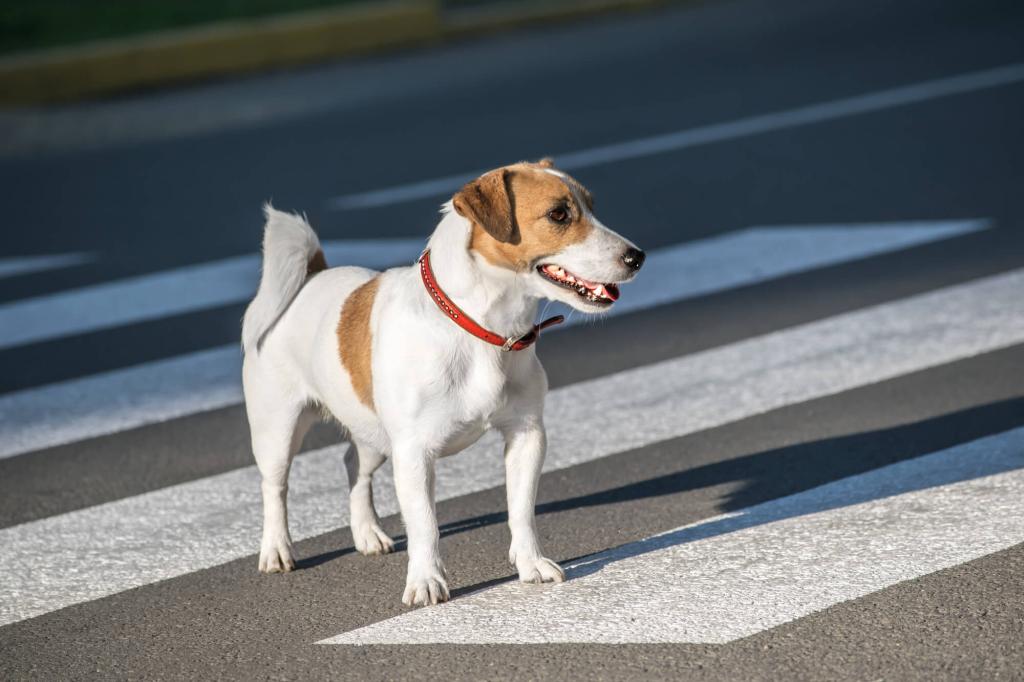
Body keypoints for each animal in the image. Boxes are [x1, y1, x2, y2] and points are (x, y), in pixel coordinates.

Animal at [243, 160, 643, 606]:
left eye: (592, 207)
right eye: (558, 214)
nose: (637, 257)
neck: (481, 329)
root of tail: (310, 276)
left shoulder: (527, 435)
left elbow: (521, 510)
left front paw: (530, 564)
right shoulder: (414, 453)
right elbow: (425, 525)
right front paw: (426, 581)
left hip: (373, 432)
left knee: (353, 466)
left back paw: (367, 533)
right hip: (278, 430)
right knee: (275, 487)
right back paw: (277, 549)